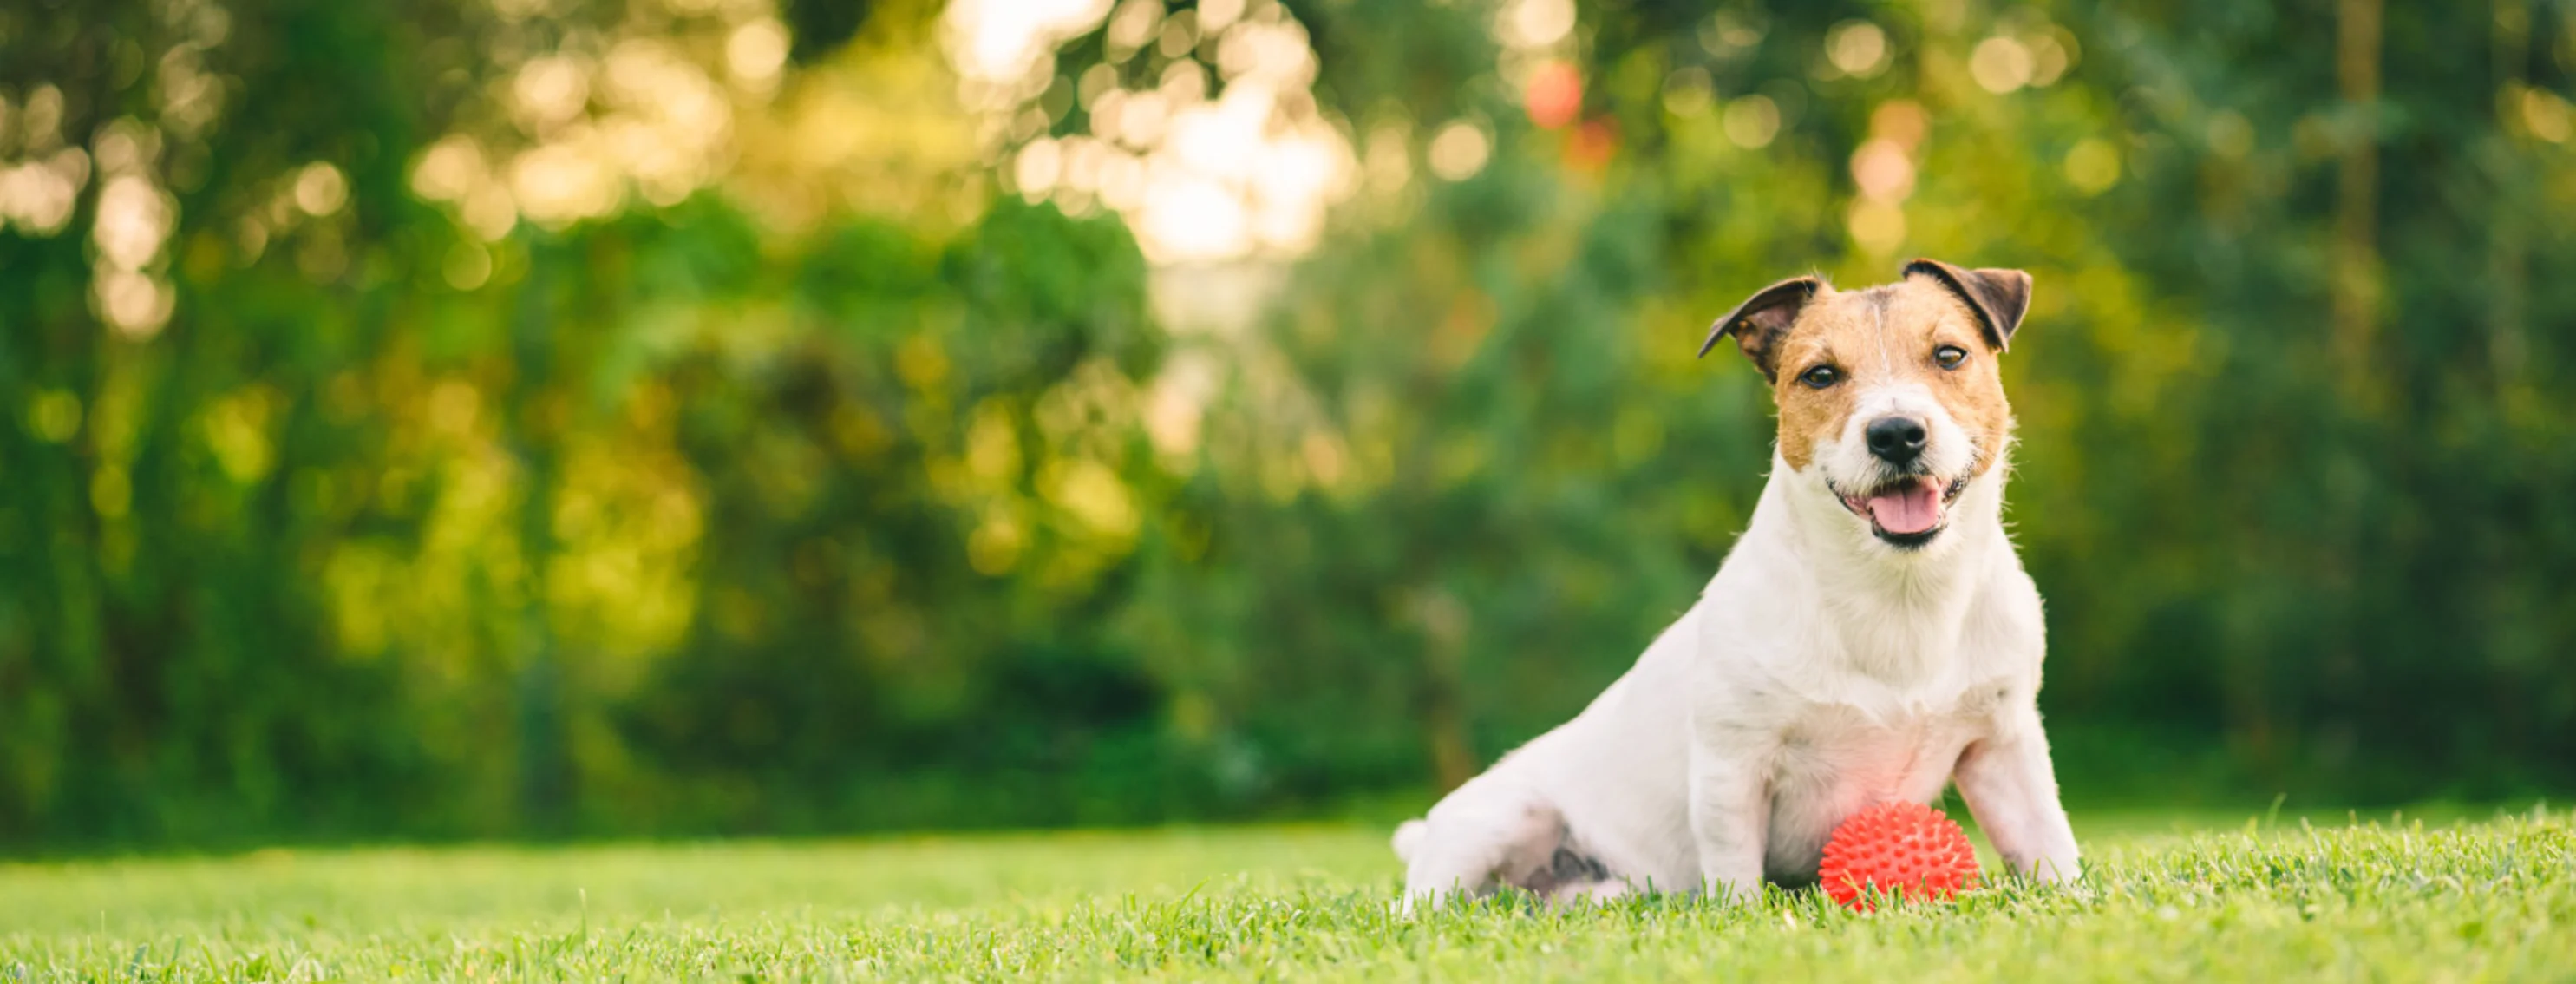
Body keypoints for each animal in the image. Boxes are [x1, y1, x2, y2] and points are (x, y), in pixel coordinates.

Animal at [1401, 259, 2081, 906]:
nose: (1895, 434)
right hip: (1498, 819)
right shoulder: (1733, 765)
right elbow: (1735, 875)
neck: (1898, 594)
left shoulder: (2005, 746)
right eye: (1820, 375)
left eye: (1949, 356)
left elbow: (2049, 842)